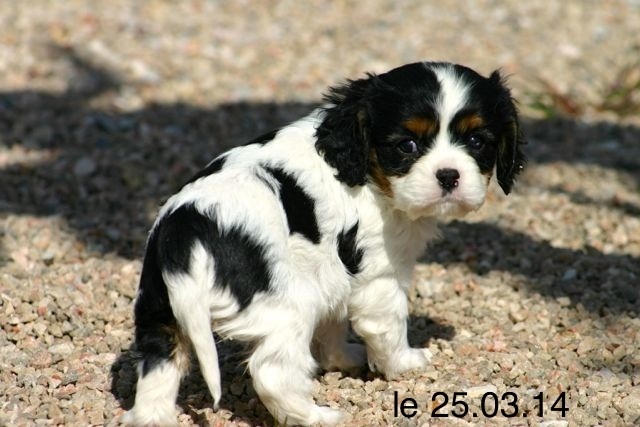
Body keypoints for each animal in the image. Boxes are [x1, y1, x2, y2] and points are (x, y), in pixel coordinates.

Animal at [122, 61, 524, 426]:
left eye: (477, 142)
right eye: (407, 145)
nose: (448, 176)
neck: (363, 169)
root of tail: (186, 229)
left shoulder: (331, 270)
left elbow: (334, 322)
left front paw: (341, 359)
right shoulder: (379, 276)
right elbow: (388, 326)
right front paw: (404, 363)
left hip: (161, 312)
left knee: (158, 367)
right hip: (288, 307)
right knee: (273, 373)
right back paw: (317, 416)